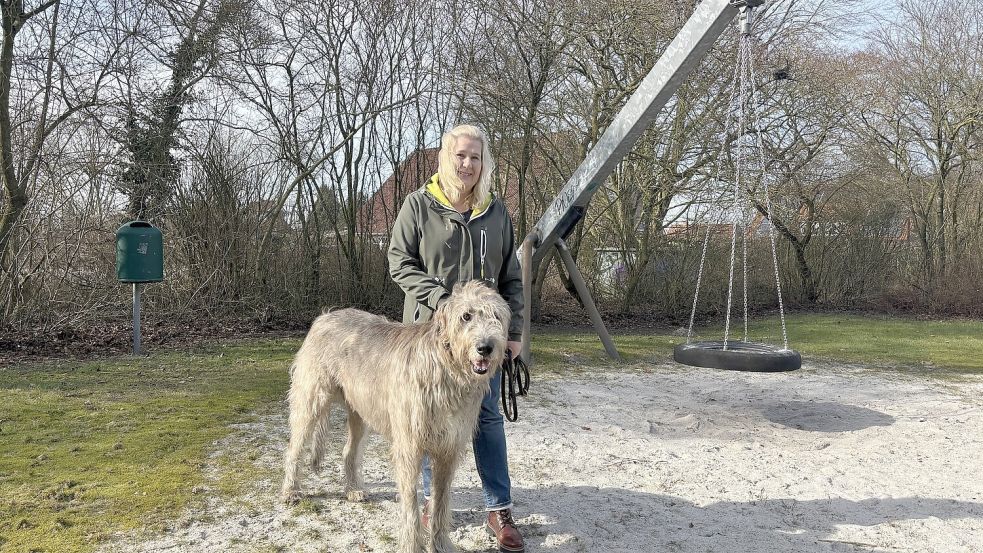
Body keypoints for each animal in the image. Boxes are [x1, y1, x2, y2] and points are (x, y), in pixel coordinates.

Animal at [280, 282, 512, 548]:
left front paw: (441, 544)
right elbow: (411, 503)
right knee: (294, 447)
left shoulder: (448, 448)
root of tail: (324, 316)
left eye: (497, 317)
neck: (446, 368)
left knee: (349, 450)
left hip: (360, 410)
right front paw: (412, 545)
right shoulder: (409, 447)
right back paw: (291, 491)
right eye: (466, 316)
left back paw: (352, 489)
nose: (486, 348)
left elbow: (441, 502)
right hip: (310, 400)